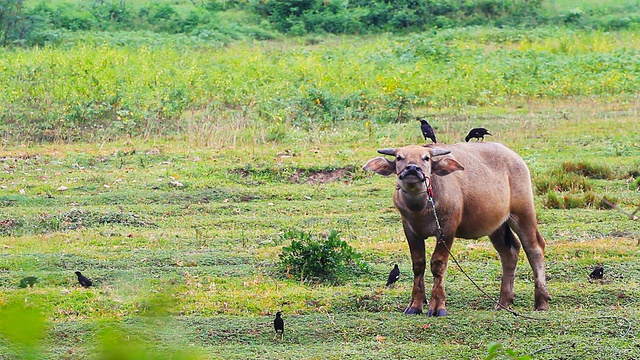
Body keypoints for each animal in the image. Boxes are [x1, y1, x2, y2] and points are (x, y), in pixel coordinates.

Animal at [364, 143, 552, 316]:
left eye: (426, 158)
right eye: (399, 158)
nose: (412, 168)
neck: (421, 208)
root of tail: (516, 158)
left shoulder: (447, 229)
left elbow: (438, 264)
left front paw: (437, 306)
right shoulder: (410, 230)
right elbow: (418, 264)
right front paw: (415, 305)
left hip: (523, 213)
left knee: (534, 248)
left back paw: (541, 301)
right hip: (497, 225)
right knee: (509, 252)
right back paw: (503, 302)